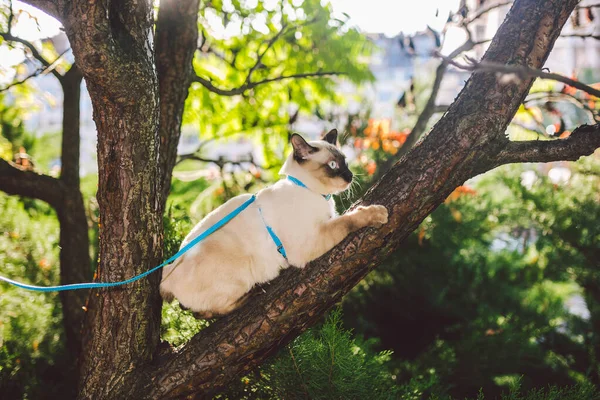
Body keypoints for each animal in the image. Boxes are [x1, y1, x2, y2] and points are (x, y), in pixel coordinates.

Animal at [159, 130, 392, 318]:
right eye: (333, 165)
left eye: (345, 162)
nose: (350, 176)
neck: (310, 191)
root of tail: (169, 270)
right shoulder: (312, 240)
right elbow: (349, 219)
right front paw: (379, 212)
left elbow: (346, 215)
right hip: (240, 271)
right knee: (205, 312)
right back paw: (253, 293)